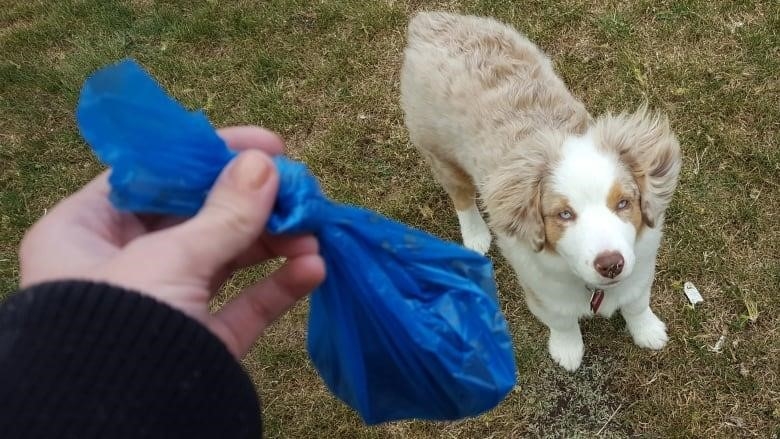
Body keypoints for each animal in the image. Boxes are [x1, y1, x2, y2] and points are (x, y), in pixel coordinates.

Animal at [400, 12, 680, 372]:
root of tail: (430, 21)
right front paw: (568, 352)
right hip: (438, 150)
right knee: (461, 196)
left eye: (623, 203)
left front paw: (649, 332)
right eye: (564, 214)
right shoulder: (543, 291)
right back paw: (475, 236)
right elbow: (563, 322)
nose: (611, 265)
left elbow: (636, 304)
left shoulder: (639, 268)